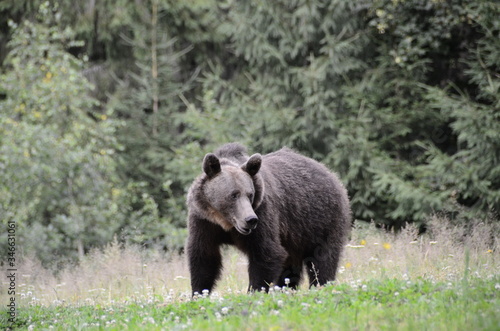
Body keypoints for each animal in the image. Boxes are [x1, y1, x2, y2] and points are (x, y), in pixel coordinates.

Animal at [187, 144, 352, 294]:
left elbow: (266, 254)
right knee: (291, 269)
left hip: (322, 221)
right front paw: (198, 293)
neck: (225, 222)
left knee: (323, 260)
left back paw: (320, 286)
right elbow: (204, 258)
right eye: (233, 195)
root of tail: (331, 174)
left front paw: (254, 292)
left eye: (250, 194)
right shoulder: (204, 222)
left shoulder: (263, 214)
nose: (250, 219)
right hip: (296, 236)